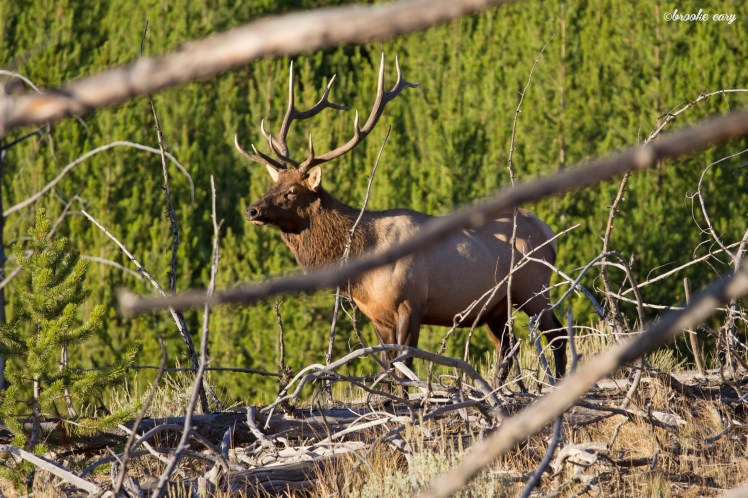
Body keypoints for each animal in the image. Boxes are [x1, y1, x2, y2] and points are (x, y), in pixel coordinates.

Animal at [236, 55, 567, 387]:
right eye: (273, 185)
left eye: (291, 191)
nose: (252, 211)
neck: (363, 271)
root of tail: (550, 233)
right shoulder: (376, 315)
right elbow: (388, 371)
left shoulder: (411, 303)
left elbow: (404, 368)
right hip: (496, 308)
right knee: (507, 347)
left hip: (533, 288)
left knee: (558, 335)